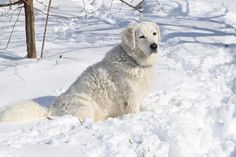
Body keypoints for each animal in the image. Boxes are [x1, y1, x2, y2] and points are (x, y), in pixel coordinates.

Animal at [0, 21, 160, 122]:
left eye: (154, 33)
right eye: (141, 36)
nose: (154, 46)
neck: (133, 60)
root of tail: (51, 109)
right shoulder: (131, 98)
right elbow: (134, 111)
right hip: (86, 106)